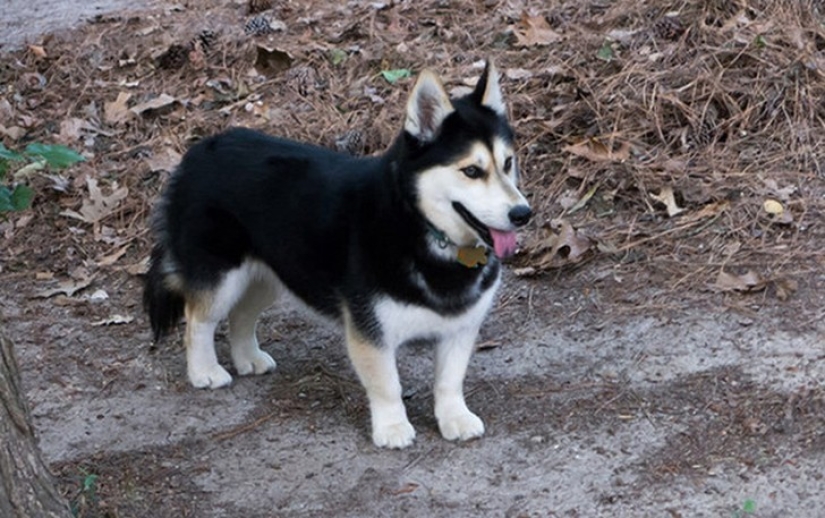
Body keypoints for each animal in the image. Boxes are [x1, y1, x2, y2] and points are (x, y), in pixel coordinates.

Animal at [145, 62, 532, 450]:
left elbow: (450, 380)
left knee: (241, 314)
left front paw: (454, 417)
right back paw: (204, 371)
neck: (418, 223)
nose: (523, 214)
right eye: (472, 171)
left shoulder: (461, 327)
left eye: (508, 163)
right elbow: (387, 384)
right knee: (198, 320)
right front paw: (392, 426)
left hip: (271, 272)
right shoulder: (370, 329)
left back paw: (248, 358)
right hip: (222, 275)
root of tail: (197, 151)